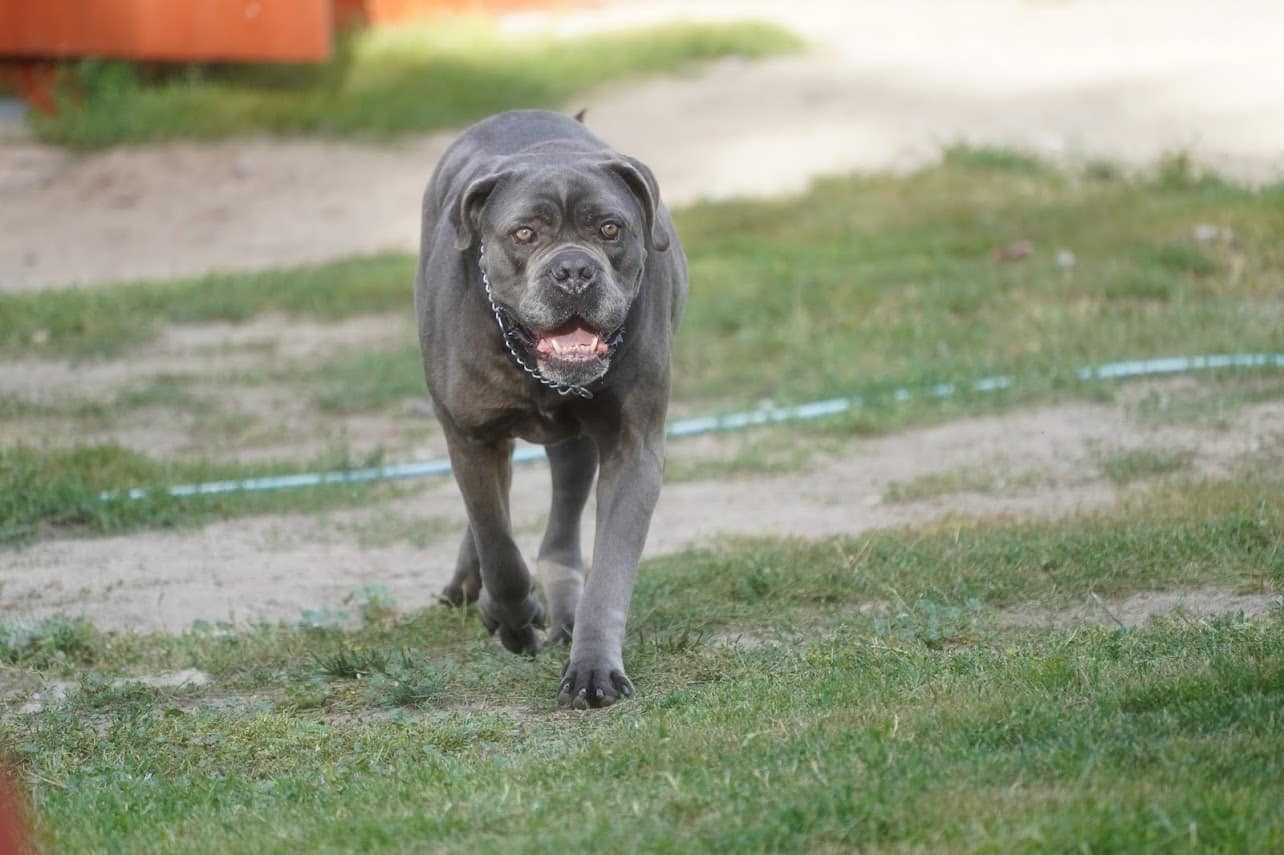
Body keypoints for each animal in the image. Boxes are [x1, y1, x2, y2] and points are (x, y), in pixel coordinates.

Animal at [416, 108, 688, 703]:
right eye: (524, 233)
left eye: (610, 228)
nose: (574, 272)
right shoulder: (471, 436)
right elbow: (497, 542)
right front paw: (513, 616)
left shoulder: (633, 446)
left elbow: (610, 568)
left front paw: (593, 668)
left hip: (575, 442)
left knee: (561, 528)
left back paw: (562, 607)